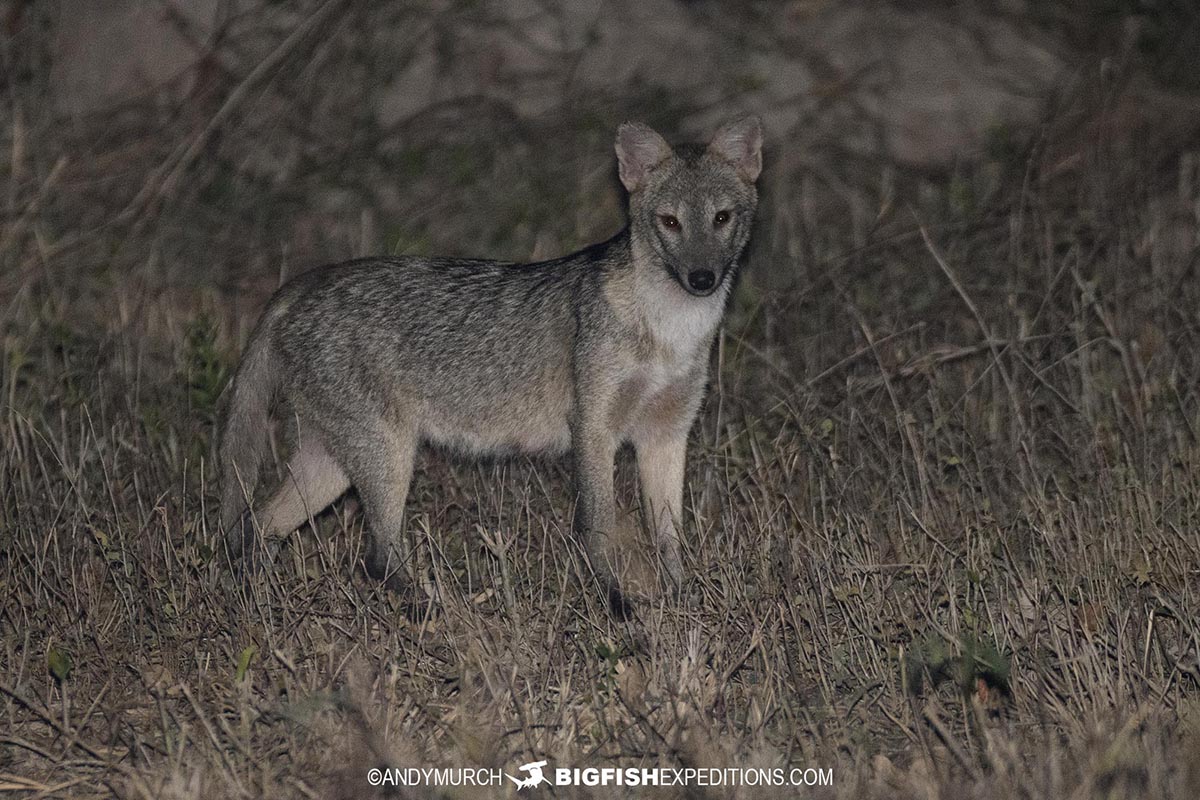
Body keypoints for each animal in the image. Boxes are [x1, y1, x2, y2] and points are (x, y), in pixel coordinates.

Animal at [220, 115, 763, 606]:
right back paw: (437, 615)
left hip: (336, 467)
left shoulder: (666, 435)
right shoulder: (593, 429)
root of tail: (303, 283)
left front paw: (683, 600)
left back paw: (254, 603)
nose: (701, 278)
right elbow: (599, 527)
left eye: (721, 218)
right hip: (386, 457)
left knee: (259, 526)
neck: (670, 331)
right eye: (670, 222)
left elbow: (671, 538)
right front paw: (618, 604)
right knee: (374, 558)